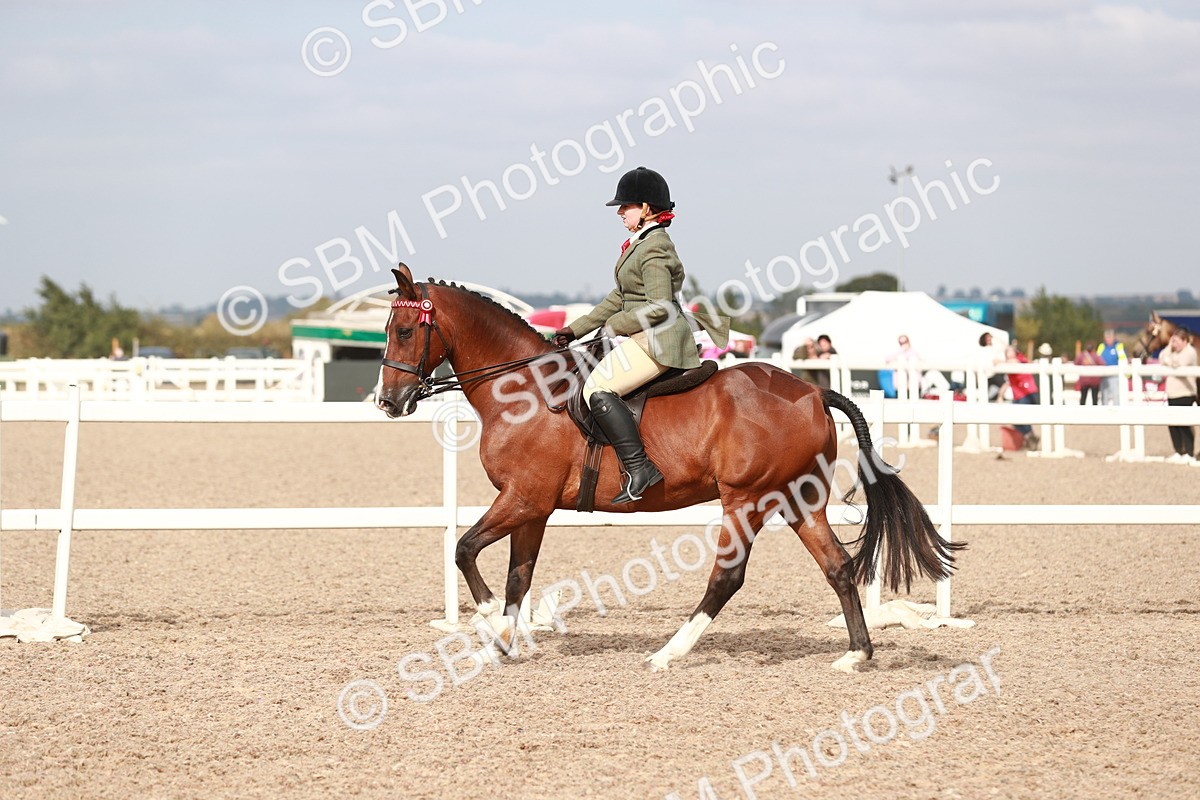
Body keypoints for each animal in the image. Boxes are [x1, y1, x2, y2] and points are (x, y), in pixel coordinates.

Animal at [376, 264, 964, 672]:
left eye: (404, 330)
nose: (388, 401)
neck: (523, 391)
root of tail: (813, 391)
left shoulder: (523, 499)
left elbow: (465, 550)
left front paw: (489, 624)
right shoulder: (534, 509)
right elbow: (518, 577)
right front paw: (502, 642)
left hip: (746, 500)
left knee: (727, 577)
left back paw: (668, 653)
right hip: (797, 498)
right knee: (838, 567)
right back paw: (856, 655)